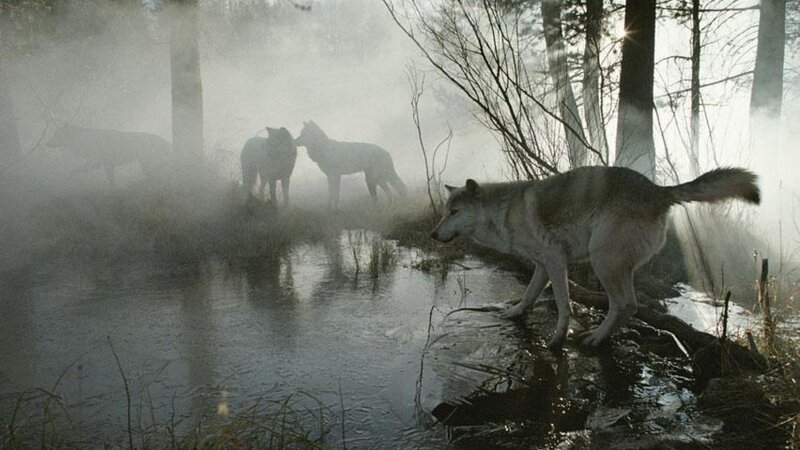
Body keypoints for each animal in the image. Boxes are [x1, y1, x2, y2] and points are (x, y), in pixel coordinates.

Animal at [430, 166, 760, 348]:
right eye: (446, 211)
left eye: (454, 212)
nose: (433, 235)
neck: (504, 210)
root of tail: (658, 191)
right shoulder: (542, 266)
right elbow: (528, 295)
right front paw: (515, 313)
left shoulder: (555, 261)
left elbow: (563, 306)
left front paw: (557, 340)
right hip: (616, 267)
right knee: (630, 306)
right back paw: (602, 337)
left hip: (603, 263)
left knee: (624, 304)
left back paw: (595, 339)